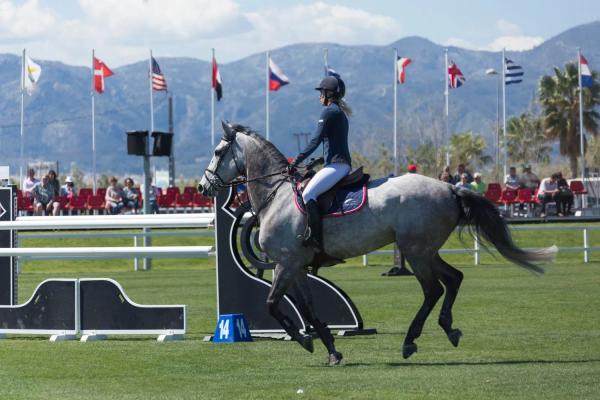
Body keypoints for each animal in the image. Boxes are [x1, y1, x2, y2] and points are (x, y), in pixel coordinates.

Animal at [200, 122, 556, 366]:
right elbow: (308, 309)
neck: (277, 195)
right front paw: (330, 348)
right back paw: (448, 328)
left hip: (416, 252)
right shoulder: (296, 267)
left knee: (433, 289)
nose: (204, 186)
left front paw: (304, 341)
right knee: (454, 279)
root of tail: (449, 188)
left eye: (218, 152)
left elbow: (273, 304)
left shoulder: (286, 264)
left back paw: (410, 341)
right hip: (425, 250)